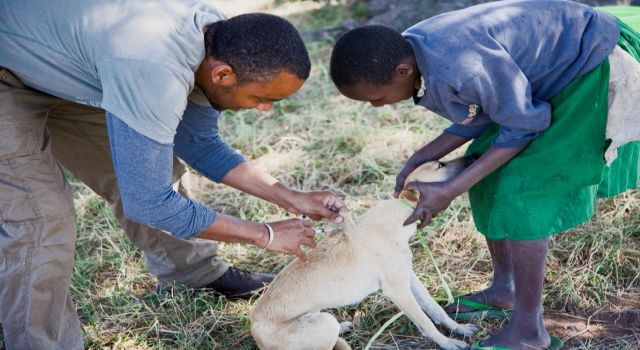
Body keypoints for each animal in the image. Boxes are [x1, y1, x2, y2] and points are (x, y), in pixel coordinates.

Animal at [250, 157, 480, 350]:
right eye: (440, 165)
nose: (473, 156)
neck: (394, 220)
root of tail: (254, 329)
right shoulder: (398, 291)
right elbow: (425, 321)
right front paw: (447, 343)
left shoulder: (409, 278)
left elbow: (435, 308)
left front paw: (458, 328)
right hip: (323, 323)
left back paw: (343, 327)